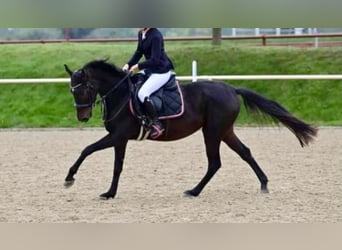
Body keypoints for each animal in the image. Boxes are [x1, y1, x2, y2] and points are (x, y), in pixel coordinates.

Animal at [62, 59, 316, 200]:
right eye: (71, 91)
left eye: (83, 89)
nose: (82, 117)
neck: (121, 94)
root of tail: (231, 89)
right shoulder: (119, 139)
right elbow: (115, 165)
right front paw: (109, 193)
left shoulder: (118, 136)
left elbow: (88, 150)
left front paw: (70, 178)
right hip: (225, 131)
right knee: (245, 153)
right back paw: (263, 184)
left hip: (212, 132)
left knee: (215, 163)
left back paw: (193, 191)